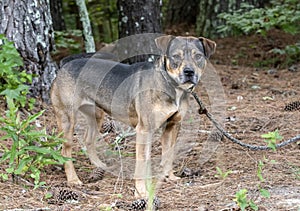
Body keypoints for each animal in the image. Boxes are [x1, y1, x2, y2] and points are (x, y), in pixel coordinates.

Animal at [51, 35, 216, 199]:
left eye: (198, 56)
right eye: (175, 56)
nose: (189, 72)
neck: (170, 86)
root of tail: (65, 63)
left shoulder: (172, 125)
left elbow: (168, 155)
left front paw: (170, 176)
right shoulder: (144, 129)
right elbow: (142, 162)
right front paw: (141, 192)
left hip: (96, 114)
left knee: (88, 139)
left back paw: (100, 166)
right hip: (67, 118)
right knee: (65, 151)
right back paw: (73, 180)